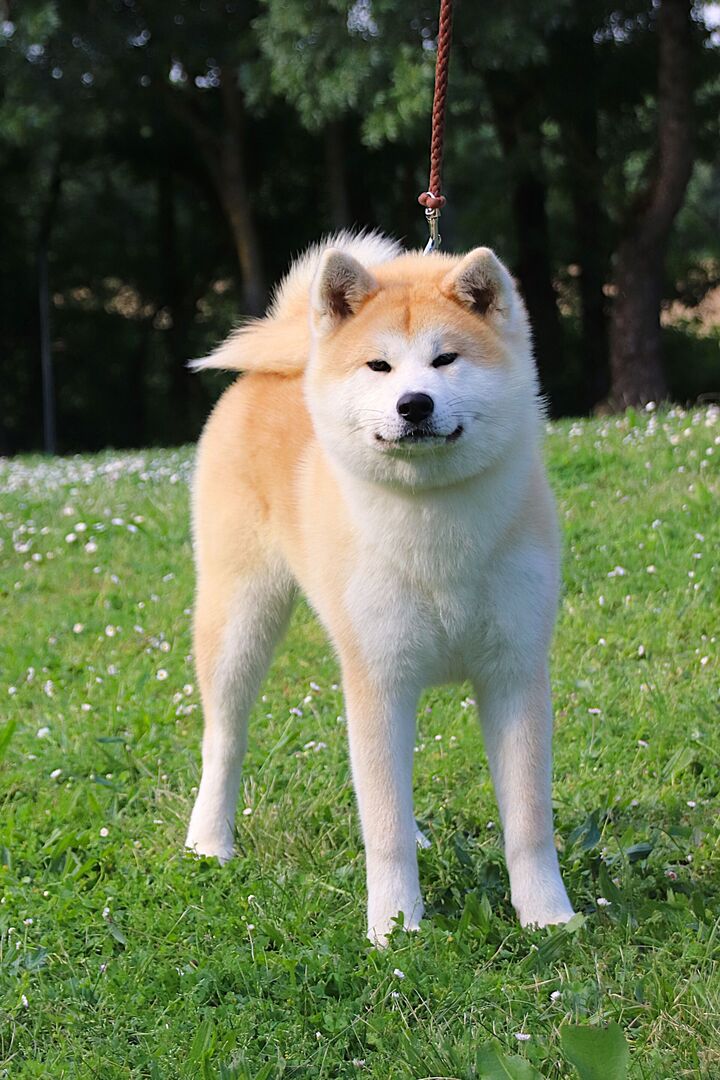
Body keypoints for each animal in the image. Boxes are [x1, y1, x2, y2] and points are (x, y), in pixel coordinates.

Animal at [185, 232, 575, 944]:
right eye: (379, 366)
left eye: (445, 359)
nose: (413, 403)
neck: (435, 527)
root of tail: (279, 362)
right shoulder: (378, 676)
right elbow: (383, 825)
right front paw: (395, 926)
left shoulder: (514, 671)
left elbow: (529, 822)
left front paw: (546, 916)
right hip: (240, 619)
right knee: (224, 739)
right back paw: (209, 841)